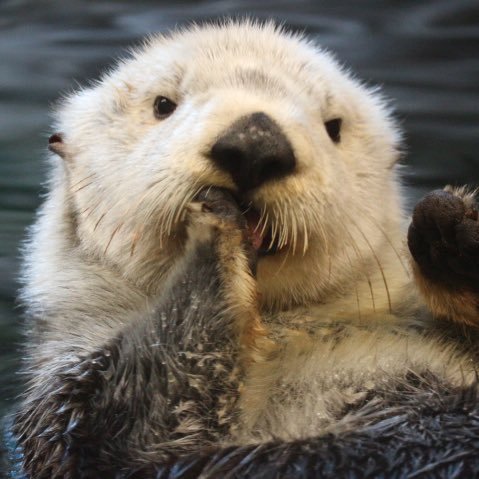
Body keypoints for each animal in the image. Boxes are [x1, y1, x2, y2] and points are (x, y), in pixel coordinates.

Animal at [10, 21, 479, 479]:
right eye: (162, 104)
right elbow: (153, 412)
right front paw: (215, 228)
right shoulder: (75, 401)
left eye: (334, 126)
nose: (254, 143)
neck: (284, 328)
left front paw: (451, 226)